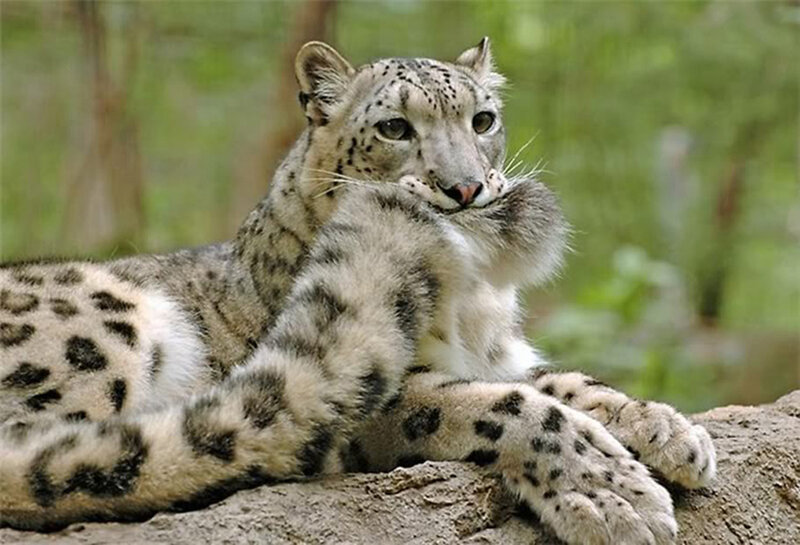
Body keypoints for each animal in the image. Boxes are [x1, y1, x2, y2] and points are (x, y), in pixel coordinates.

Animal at [0, 39, 715, 544]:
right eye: (396, 128)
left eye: (483, 120)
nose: (465, 187)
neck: (473, 302)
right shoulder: (394, 399)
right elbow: (502, 404)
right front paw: (612, 494)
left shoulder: (503, 355)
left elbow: (564, 381)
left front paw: (668, 429)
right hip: (104, 328)